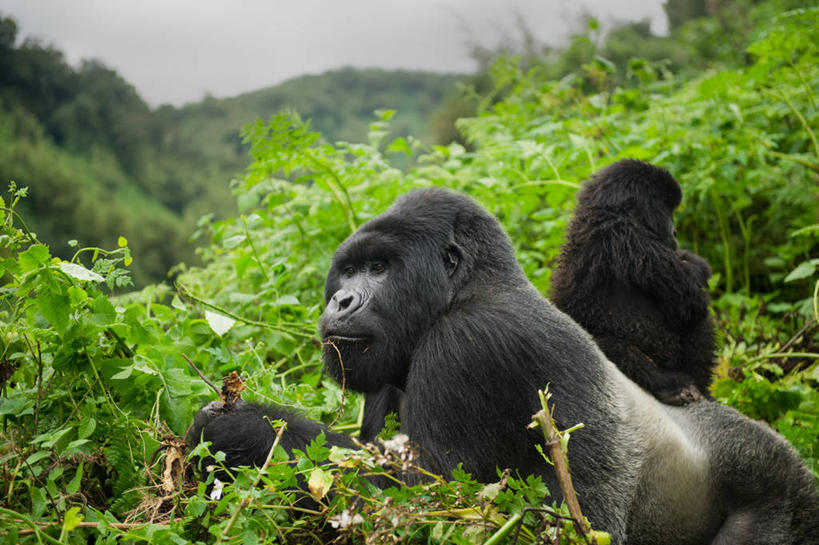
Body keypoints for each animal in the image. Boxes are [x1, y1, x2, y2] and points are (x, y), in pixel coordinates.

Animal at [187, 188, 819, 544]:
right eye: (347, 271)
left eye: (379, 268)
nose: (341, 301)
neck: (467, 288)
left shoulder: (470, 344)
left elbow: (425, 506)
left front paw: (241, 427)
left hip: (779, 490)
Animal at [552, 157, 716, 404]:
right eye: (666, 211)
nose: (675, 233)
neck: (606, 211)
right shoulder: (633, 238)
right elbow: (689, 302)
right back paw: (671, 386)